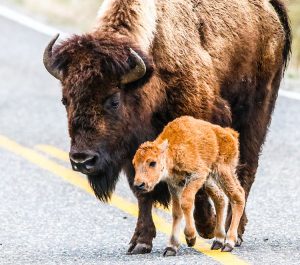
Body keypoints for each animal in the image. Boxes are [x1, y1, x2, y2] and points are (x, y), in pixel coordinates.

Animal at [132, 115, 245, 254]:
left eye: (152, 162)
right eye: (134, 164)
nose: (139, 185)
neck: (171, 150)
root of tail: (230, 134)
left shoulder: (197, 175)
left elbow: (185, 202)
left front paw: (191, 238)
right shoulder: (175, 185)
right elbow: (176, 212)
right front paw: (171, 247)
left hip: (223, 172)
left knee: (237, 196)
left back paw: (229, 243)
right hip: (210, 179)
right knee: (220, 198)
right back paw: (218, 241)